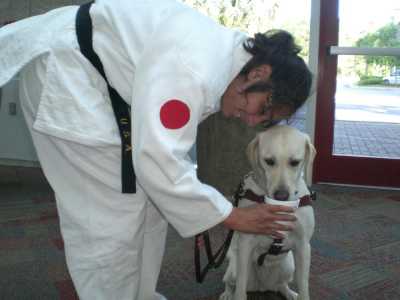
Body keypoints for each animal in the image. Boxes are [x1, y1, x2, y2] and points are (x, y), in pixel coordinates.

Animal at [219, 125, 316, 300]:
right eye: (269, 161)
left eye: (295, 162)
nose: (281, 196)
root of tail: (262, 286)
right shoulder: (246, 243)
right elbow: (240, 290)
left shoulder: (303, 246)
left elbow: (304, 285)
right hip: (234, 270)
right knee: (231, 283)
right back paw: (227, 294)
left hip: (288, 266)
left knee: (281, 285)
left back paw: (290, 293)